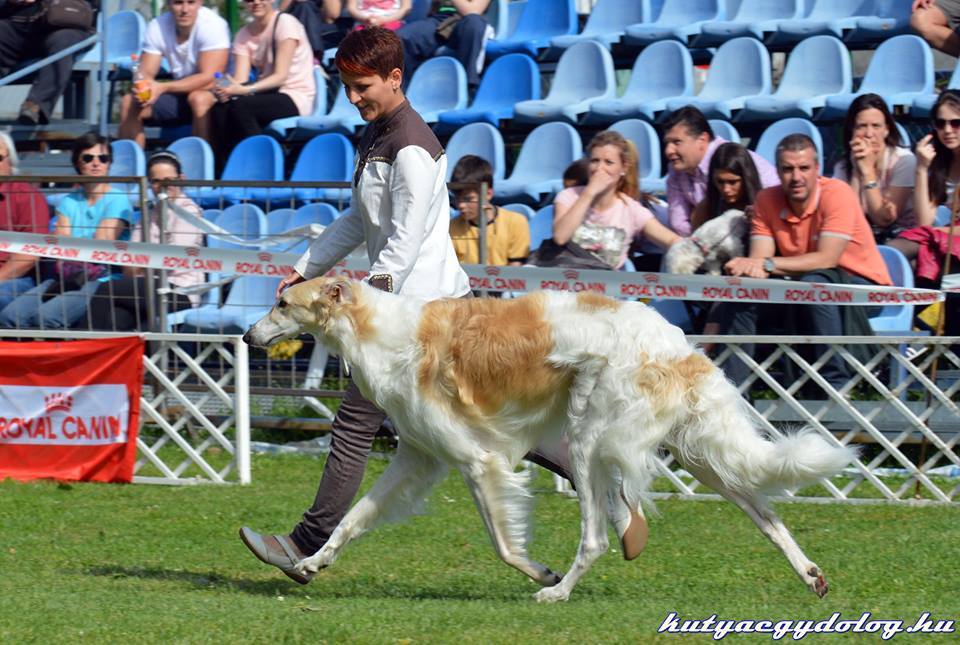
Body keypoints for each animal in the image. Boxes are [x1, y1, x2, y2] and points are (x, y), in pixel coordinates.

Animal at [242, 278, 856, 604]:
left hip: (590, 442)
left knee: (598, 538)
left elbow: (504, 544)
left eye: (282, 303)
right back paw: (811, 575)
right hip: (698, 454)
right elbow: (352, 519)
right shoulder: (417, 459)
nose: (247, 334)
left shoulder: (478, 460)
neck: (383, 332)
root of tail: (677, 345)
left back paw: (559, 592)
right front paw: (309, 563)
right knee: (767, 513)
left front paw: (542, 573)